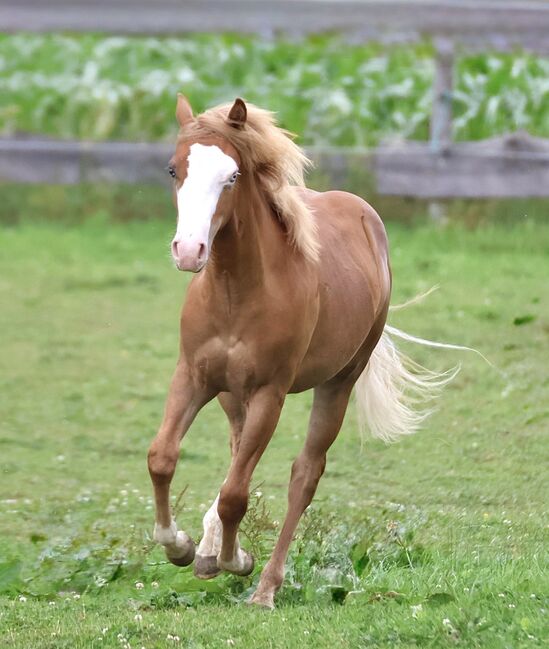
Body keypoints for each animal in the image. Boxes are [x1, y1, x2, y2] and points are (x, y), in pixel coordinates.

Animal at [147, 95, 455, 609]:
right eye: (174, 169)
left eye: (232, 176)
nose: (189, 250)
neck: (236, 292)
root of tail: (365, 215)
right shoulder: (192, 376)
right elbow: (163, 458)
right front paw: (184, 548)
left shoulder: (269, 393)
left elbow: (237, 494)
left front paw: (237, 562)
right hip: (231, 394)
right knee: (237, 454)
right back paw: (210, 551)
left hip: (339, 382)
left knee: (303, 476)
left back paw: (265, 587)